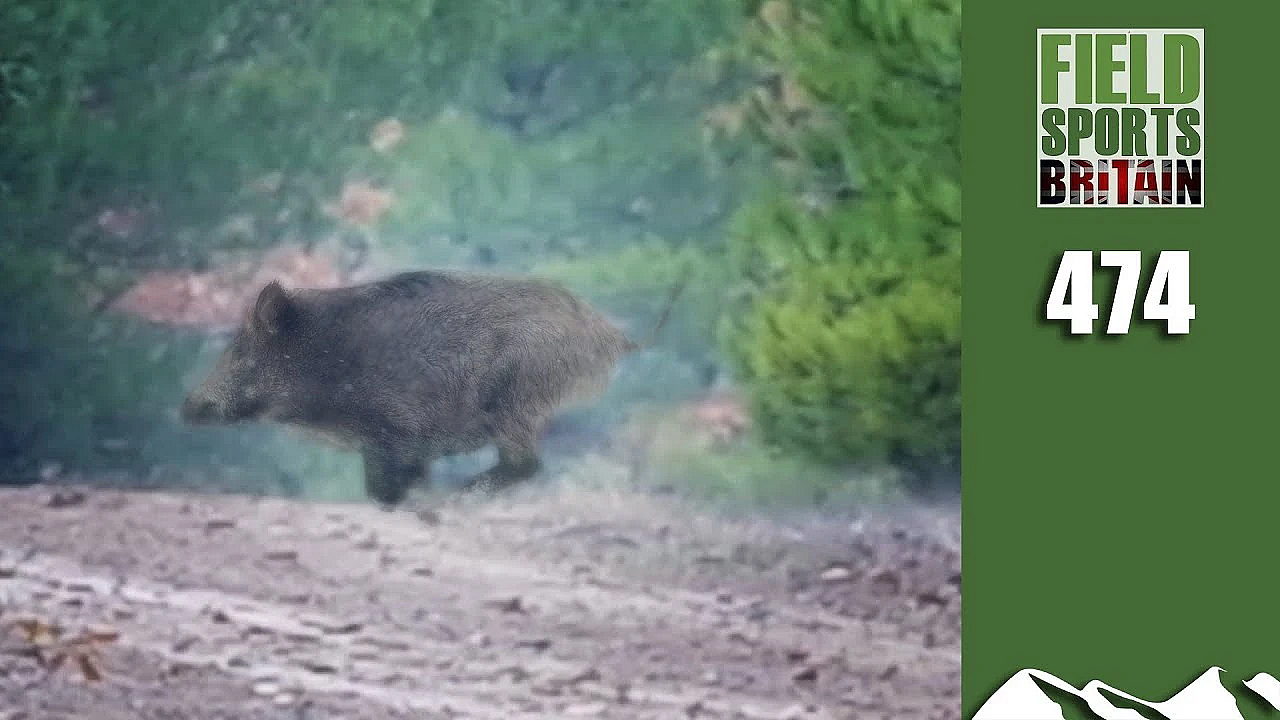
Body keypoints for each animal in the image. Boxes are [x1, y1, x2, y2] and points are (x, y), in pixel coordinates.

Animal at [181, 269, 686, 508]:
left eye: (240, 353)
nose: (186, 406)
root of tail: (614, 337)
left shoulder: (392, 433)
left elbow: (384, 491)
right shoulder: (410, 447)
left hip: (517, 402)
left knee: (526, 465)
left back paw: (463, 494)